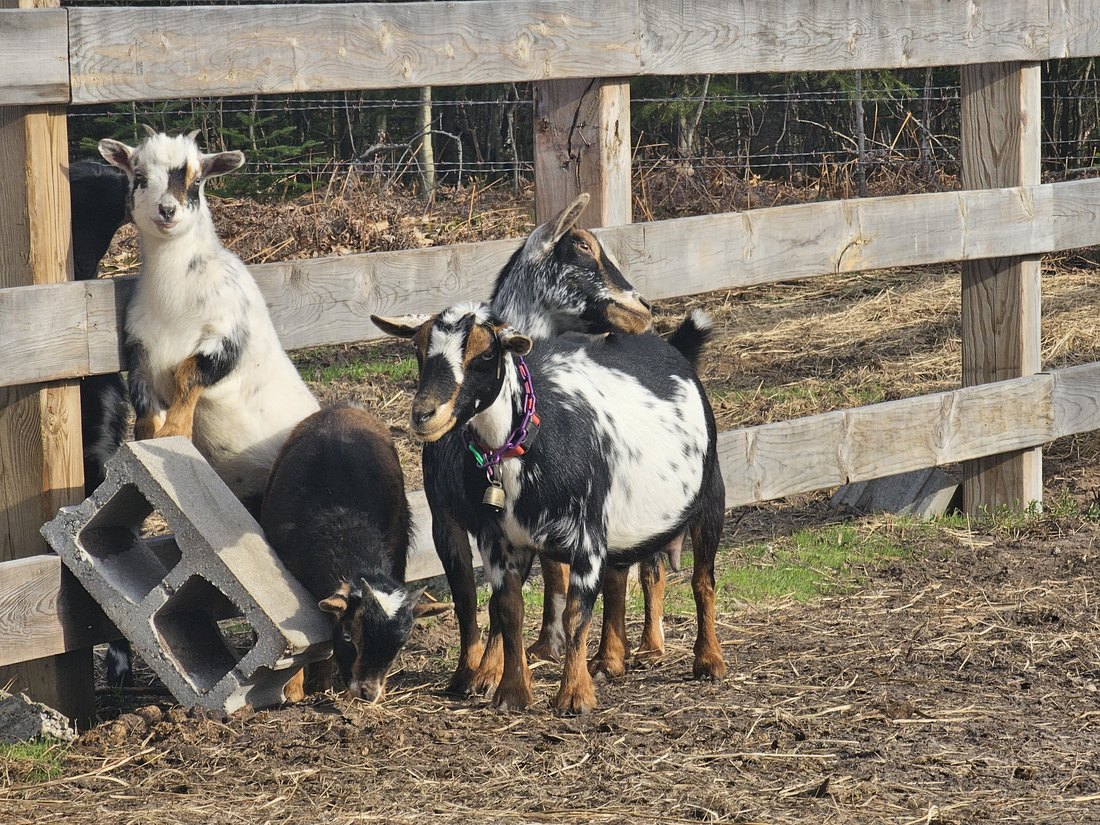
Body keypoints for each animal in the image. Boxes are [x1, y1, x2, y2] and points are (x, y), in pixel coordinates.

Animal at [98, 130, 319, 512]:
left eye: (197, 180)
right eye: (139, 176)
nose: (167, 210)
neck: (173, 304)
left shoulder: (226, 335)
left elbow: (189, 374)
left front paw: (175, 431)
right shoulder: (139, 348)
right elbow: (142, 400)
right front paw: (150, 437)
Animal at [260, 404, 443, 703]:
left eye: (399, 646)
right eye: (348, 636)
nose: (368, 692)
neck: (339, 517)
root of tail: (343, 407)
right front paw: (296, 689)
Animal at [374, 303, 727, 714]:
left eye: (485, 354)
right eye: (418, 350)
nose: (424, 415)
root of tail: (672, 349)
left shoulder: (587, 536)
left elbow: (575, 614)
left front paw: (574, 695)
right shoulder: (498, 541)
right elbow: (507, 608)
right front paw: (511, 692)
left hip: (709, 496)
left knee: (702, 579)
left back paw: (708, 661)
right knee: (619, 577)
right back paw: (609, 660)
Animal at [415, 196, 660, 697]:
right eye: (581, 246)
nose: (643, 308)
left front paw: (493, 672)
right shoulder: (452, 519)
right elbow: (475, 598)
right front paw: (476, 673)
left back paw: (641, 645)